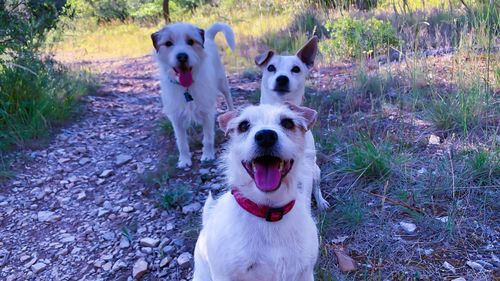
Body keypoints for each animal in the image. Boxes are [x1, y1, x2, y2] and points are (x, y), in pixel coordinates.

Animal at [151, 23, 235, 167]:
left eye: (190, 41)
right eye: (168, 43)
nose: (182, 56)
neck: (187, 87)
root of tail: (208, 37)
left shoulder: (207, 112)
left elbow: (208, 138)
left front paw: (207, 155)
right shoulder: (176, 117)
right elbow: (181, 142)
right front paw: (184, 160)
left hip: (222, 82)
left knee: (228, 97)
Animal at [254, 36, 328, 209]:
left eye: (296, 69)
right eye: (271, 67)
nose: (282, 78)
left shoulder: (305, 169)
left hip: (316, 170)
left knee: (316, 188)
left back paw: (321, 201)